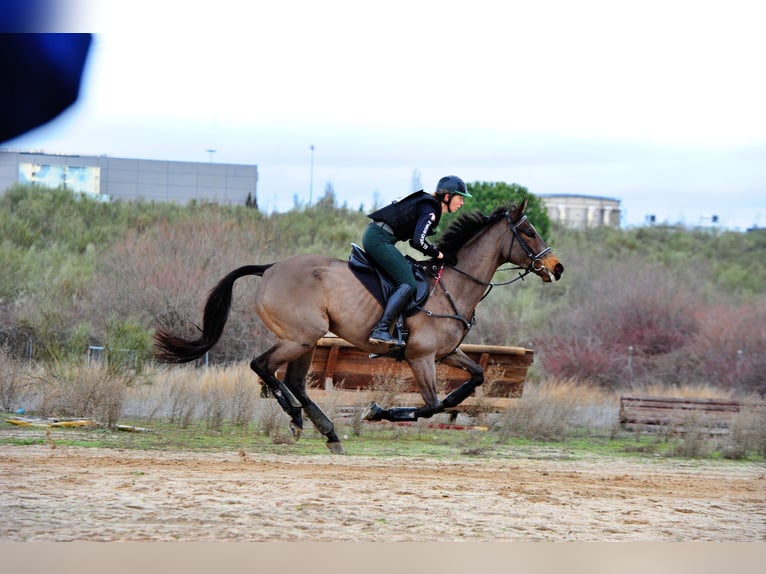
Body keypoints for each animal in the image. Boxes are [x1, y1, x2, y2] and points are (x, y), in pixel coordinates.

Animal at [154, 200, 564, 456]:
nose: (556, 268)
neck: (453, 285)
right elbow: (431, 405)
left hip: (307, 341)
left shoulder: (447, 353)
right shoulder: (421, 356)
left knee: (296, 382)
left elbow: (473, 380)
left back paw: (328, 432)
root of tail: (269, 268)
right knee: (263, 366)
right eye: (529, 232)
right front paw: (376, 411)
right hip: (301, 336)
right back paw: (297, 419)